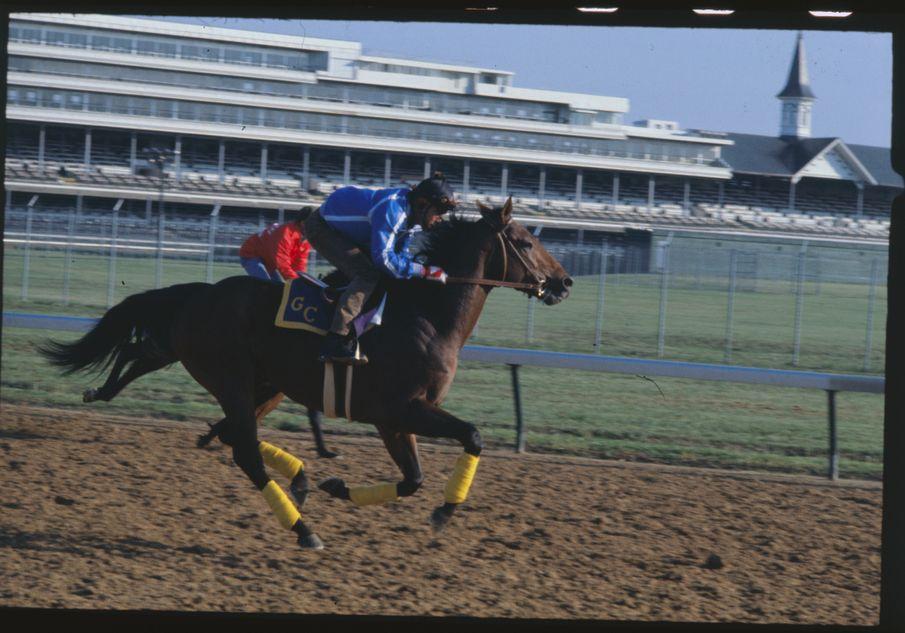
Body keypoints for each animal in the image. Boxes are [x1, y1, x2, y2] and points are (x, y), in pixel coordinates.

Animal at [40, 201, 572, 548]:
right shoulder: (401, 408)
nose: (564, 282)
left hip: (264, 384)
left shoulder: (395, 419)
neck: (425, 315)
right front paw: (446, 509)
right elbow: (472, 436)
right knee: (245, 452)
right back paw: (302, 528)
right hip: (232, 379)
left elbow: (414, 479)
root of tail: (198, 293)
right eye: (525, 242)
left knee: (224, 426)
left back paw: (297, 480)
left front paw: (338, 487)